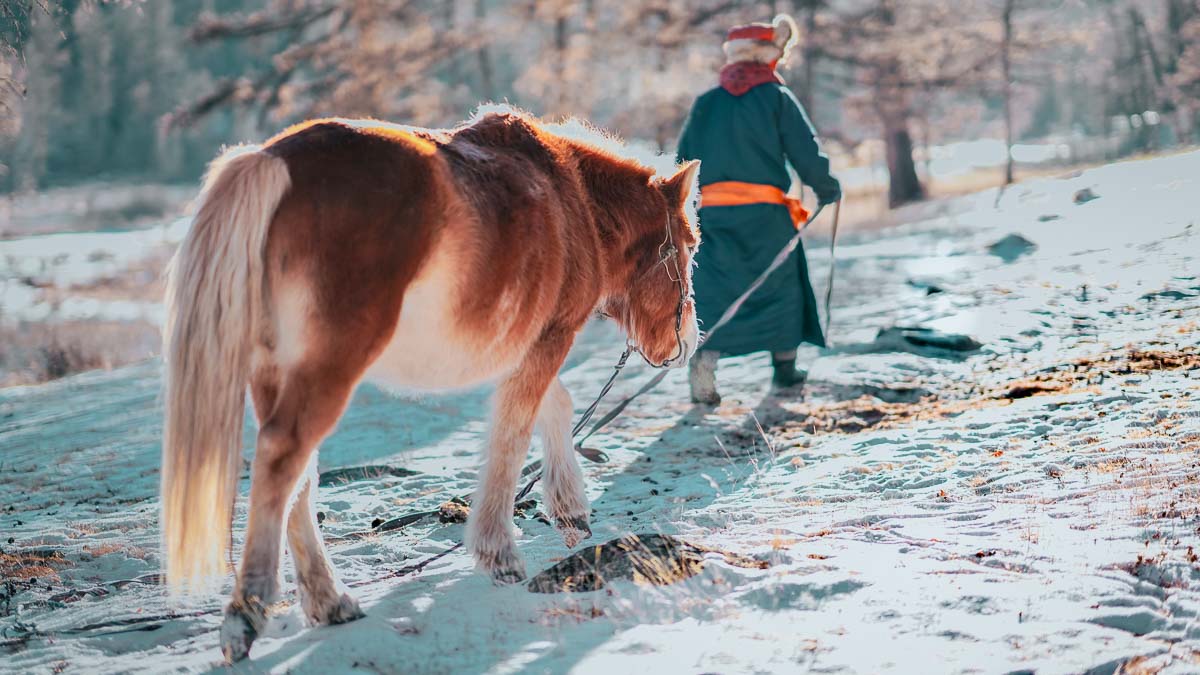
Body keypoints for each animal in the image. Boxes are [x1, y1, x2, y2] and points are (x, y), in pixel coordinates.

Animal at [159, 107, 700, 658]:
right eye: (687, 245)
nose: (686, 341)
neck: (575, 203)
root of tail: (272, 161)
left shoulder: (528, 345)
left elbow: (555, 406)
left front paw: (569, 510)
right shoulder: (551, 338)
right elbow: (513, 435)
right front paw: (499, 552)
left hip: (273, 373)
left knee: (298, 476)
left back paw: (329, 600)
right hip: (328, 370)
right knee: (282, 458)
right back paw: (247, 614)